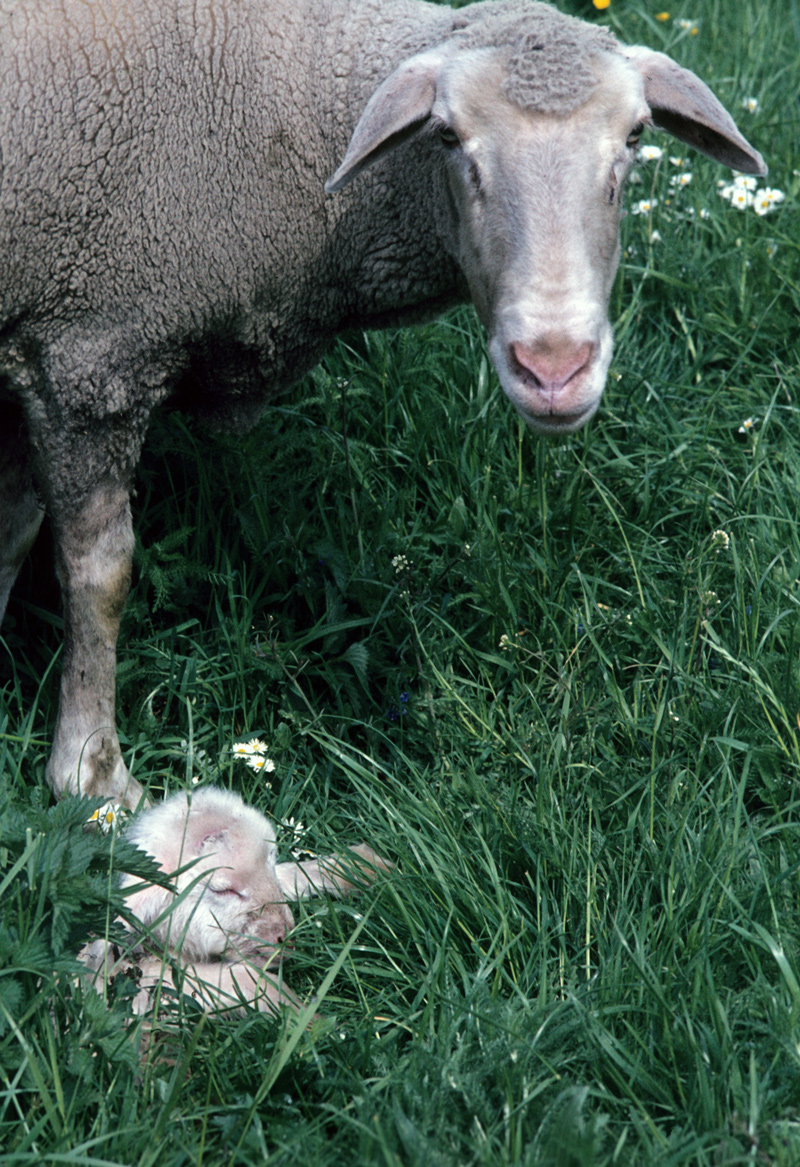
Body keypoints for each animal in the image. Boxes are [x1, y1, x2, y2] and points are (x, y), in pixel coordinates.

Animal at [0, 0, 765, 812]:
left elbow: (12, 532)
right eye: (449, 137)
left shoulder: (28, 354)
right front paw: (92, 777)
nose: (554, 366)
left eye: (635, 135)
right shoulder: (89, 357)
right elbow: (99, 574)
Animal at [81, 788, 391, 1017]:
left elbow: (294, 874)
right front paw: (309, 1024)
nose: (285, 939)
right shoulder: (143, 985)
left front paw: (370, 867)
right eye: (223, 890)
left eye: (270, 862)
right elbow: (246, 979)